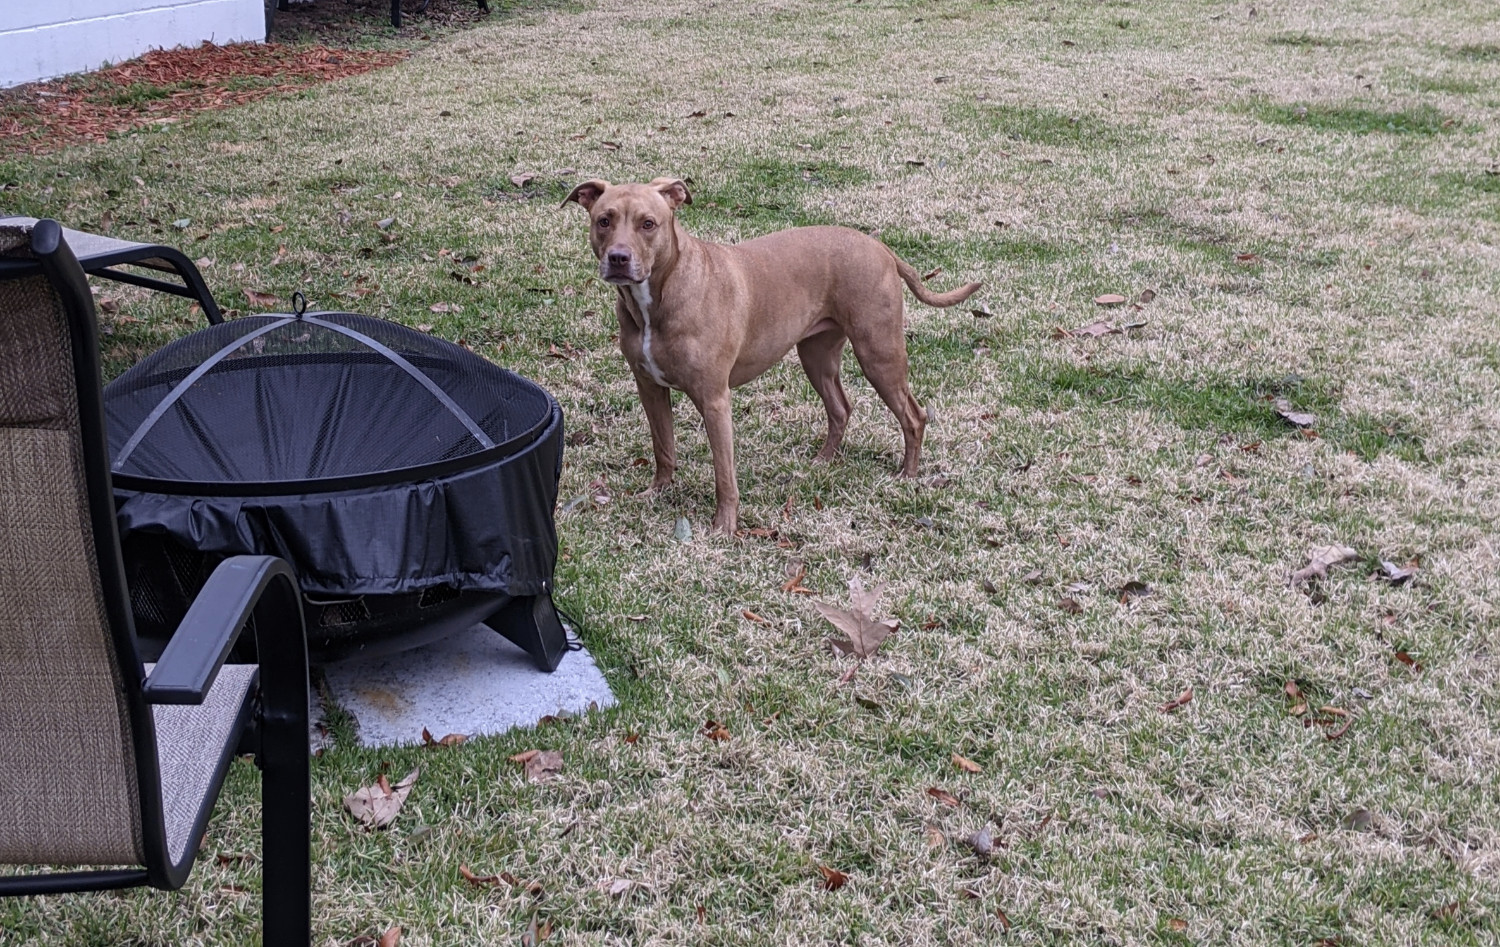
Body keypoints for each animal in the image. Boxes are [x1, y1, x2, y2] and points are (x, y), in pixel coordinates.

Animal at [564, 177, 984, 534]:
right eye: (604, 220)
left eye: (648, 224)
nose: (618, 258)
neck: (660, 294)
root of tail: (880, 247)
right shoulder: (649, 388)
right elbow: (663, 447)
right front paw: (658, 492)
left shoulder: (714, 399)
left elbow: (724, 474)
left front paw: (724, 527)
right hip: (817, 356)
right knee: (840, 408)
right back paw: (823, 460)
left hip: (879, 354)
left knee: (913, 415)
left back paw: (907, 476)